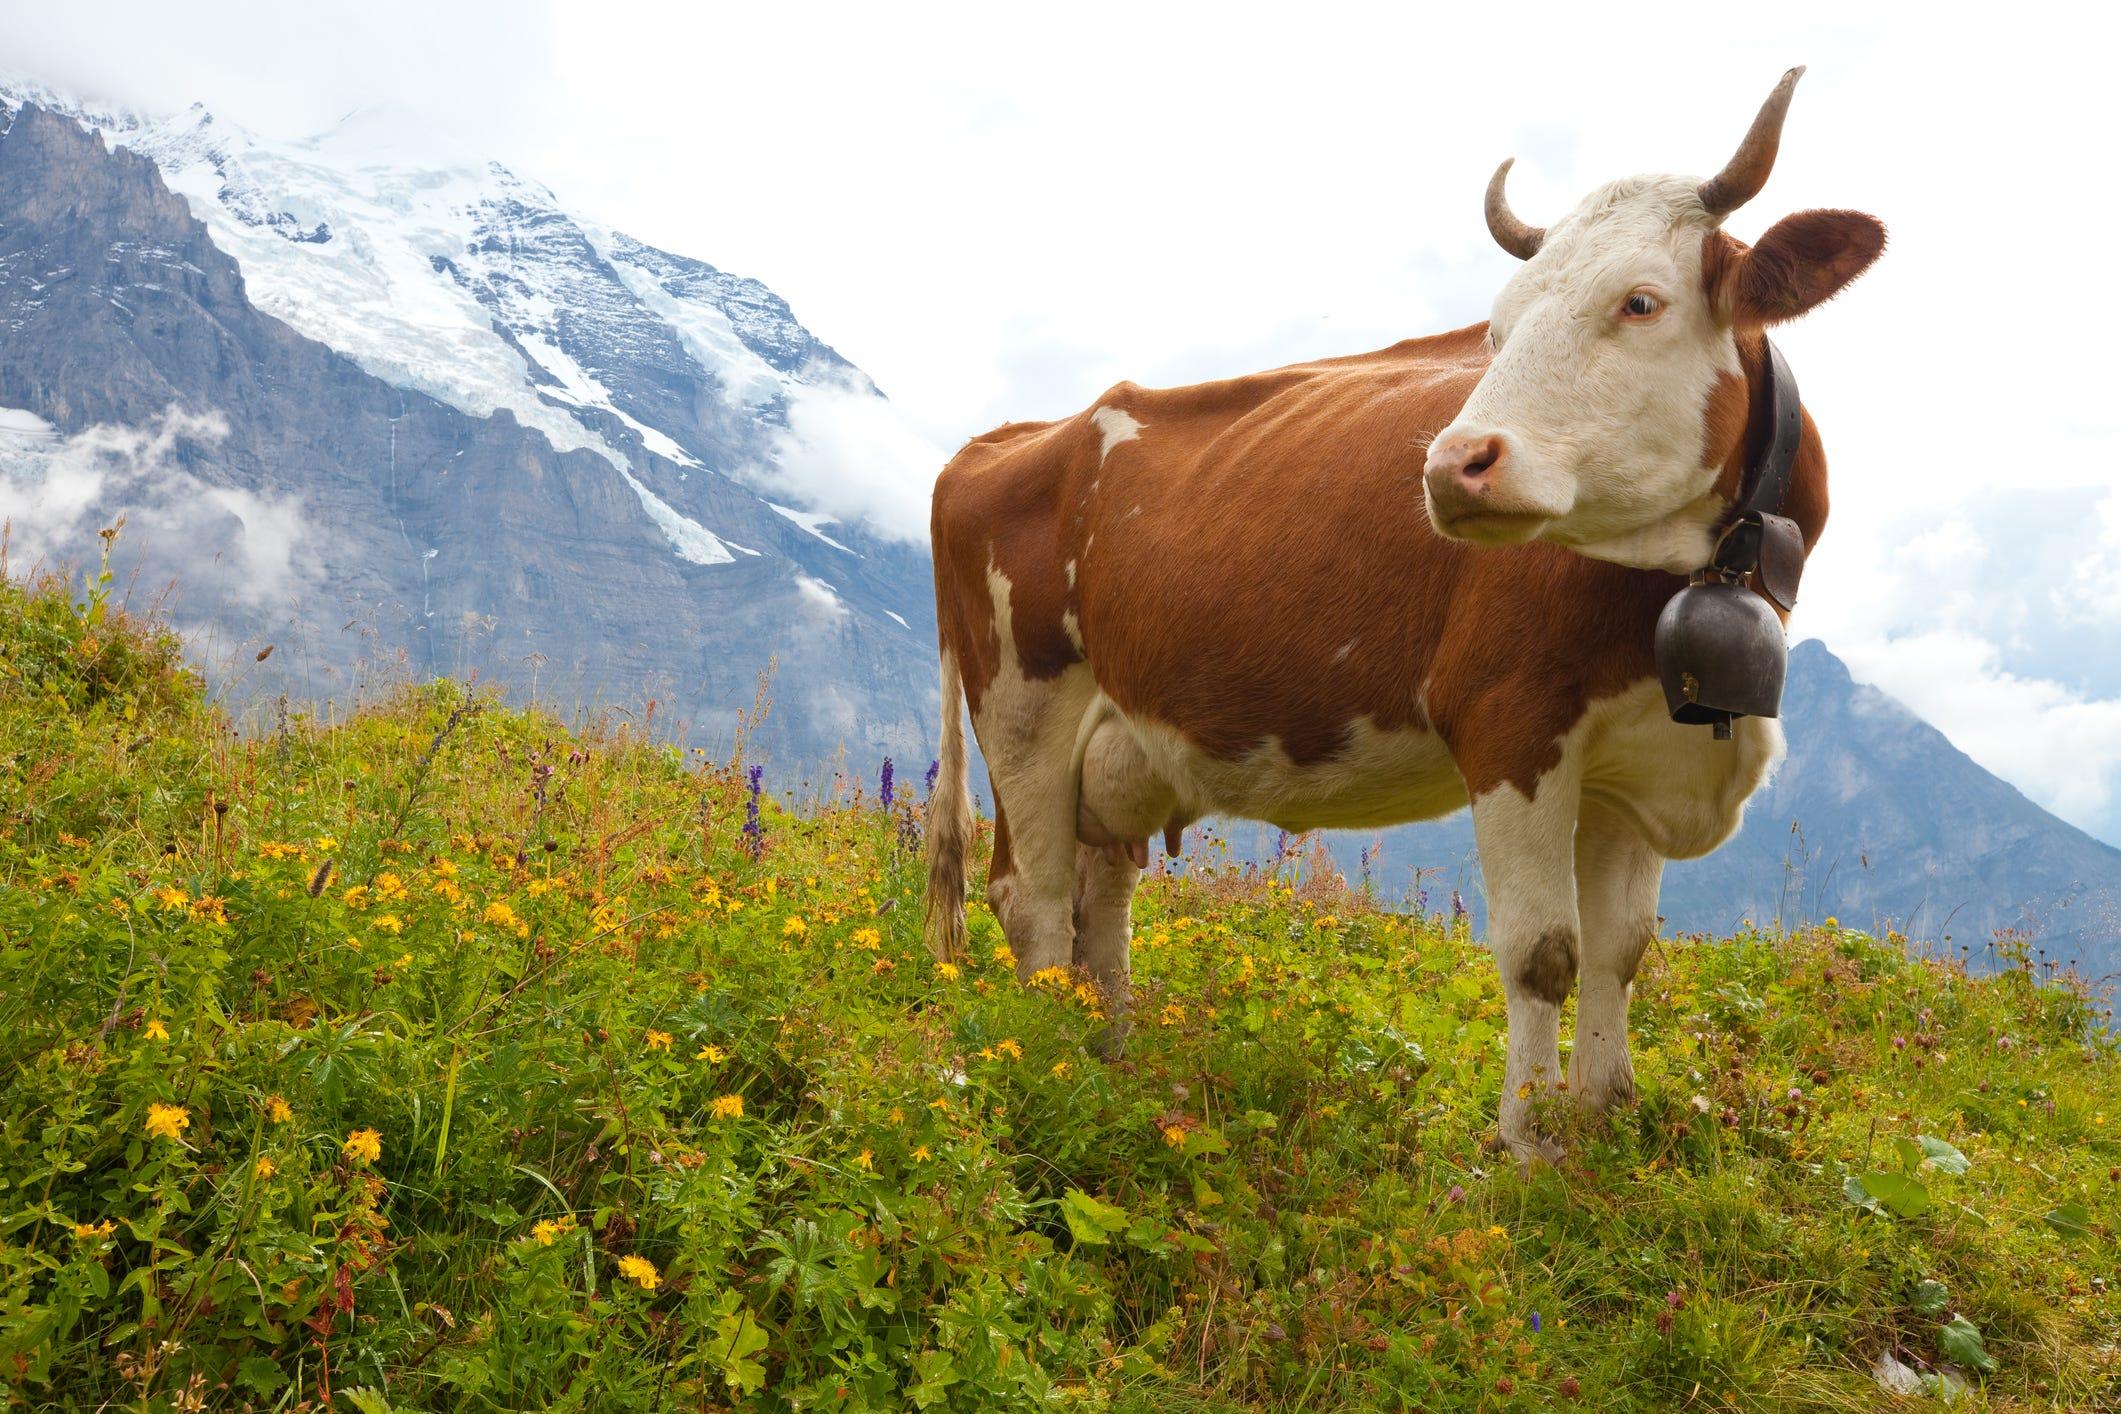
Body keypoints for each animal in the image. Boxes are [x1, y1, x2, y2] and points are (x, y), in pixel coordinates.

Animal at [920, 68, 1883, 1161]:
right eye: (1495, 331)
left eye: (1641, 301)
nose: (1452, 464)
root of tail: (1015, 435)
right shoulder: (1509, 723)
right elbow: (1543, 952)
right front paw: (1529, 1148)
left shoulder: (1635, 756)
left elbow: (1621, 951)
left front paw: (1607, 1124)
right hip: (1021, 711)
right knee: (1031, 898)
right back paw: (1047, 1058)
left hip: (1117, 743)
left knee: (1100, 895)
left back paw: (1109, 1061)